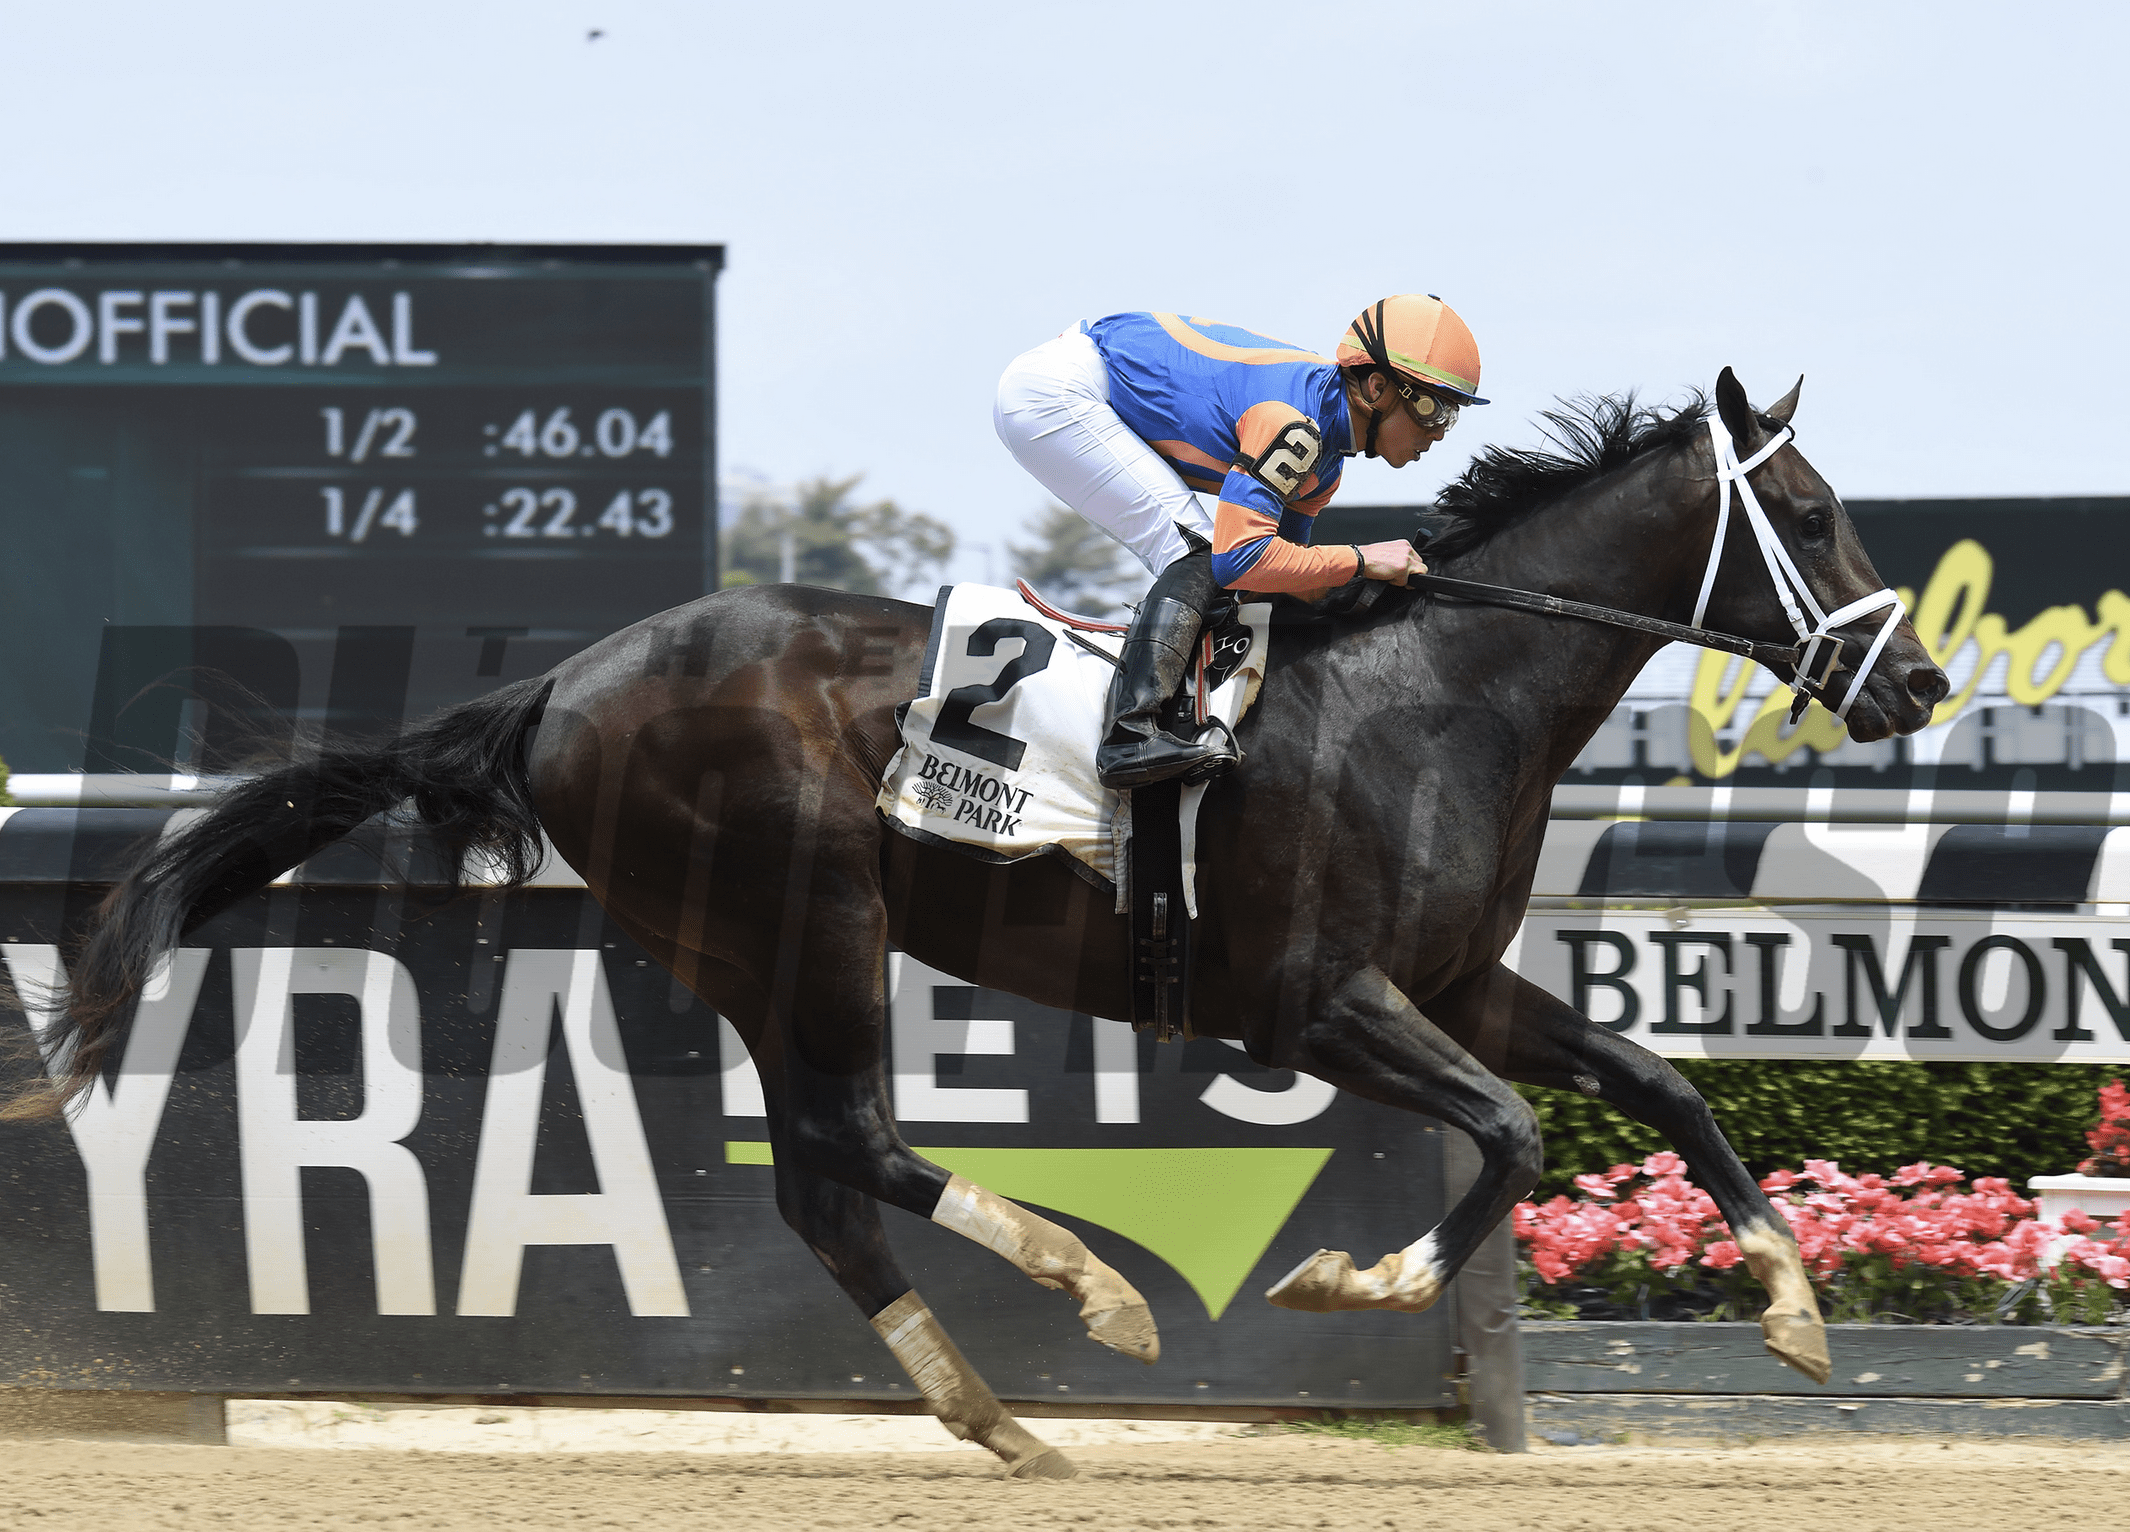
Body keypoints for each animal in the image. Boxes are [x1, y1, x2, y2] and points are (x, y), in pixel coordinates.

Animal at [24, 369, 1949, 1478]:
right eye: (1806, 508)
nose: (1918, 681)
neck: (1436, 694)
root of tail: (563, 684)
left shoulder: (1459, 982)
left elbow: (1657, 1087)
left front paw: (1794, 1312)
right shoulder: (1311, 999)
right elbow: (1513, 1133)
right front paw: (1361, 1273)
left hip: (750, 945)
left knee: (820, 1180)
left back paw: (994, 1408)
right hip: (805, 915)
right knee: (851, 1147)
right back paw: (1084, 1296)